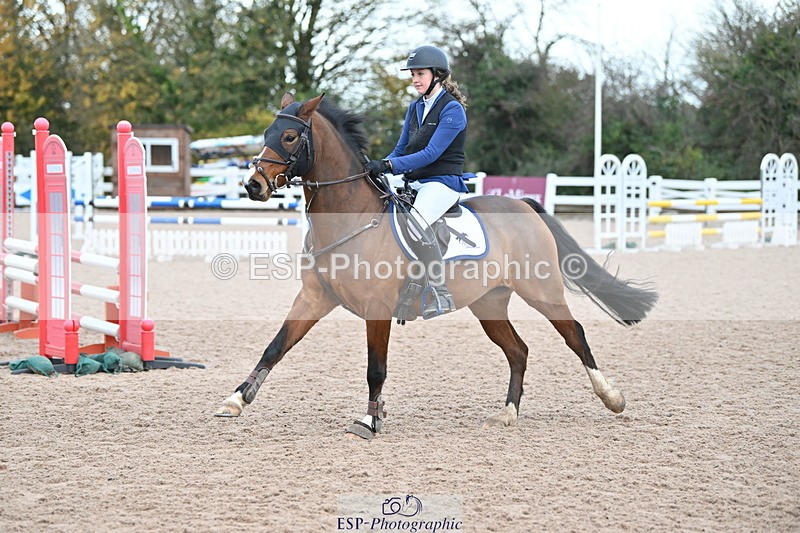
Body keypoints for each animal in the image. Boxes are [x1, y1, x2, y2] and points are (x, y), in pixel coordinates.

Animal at [214, 92, 658, 439]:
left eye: (289, 136)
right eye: (267, 135)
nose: (253, 185)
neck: (350, 218)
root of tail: (524, 207)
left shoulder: (377, 309)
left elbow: (376, 369)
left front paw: (370, 420)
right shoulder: (313, 298)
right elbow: (275, 347)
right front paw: (236, 400)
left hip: (542, 290)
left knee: (574, 334)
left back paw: (612, 397)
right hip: (489, 303)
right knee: (518, 350)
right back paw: (507, 413)